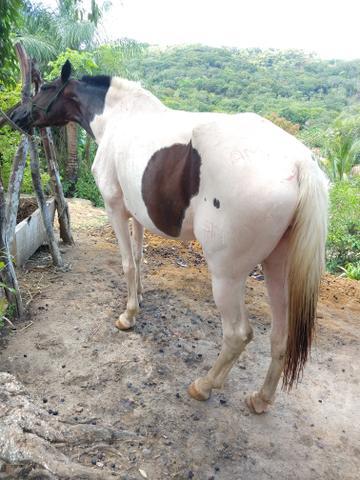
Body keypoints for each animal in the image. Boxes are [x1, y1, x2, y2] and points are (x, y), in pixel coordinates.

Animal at [12, 61, 330, 412]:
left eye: (43, 88)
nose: (14, 115)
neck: (119, 116)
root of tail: (299, 164)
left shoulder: (115, 208)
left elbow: (127, 263)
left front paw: (128, 316)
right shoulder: (137, 214)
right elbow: (139, 258)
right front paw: (139, 298)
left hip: (227, 275)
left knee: (238, 334)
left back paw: (204, 385)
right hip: (277, 268)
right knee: (280, 336)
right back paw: (261, 399)